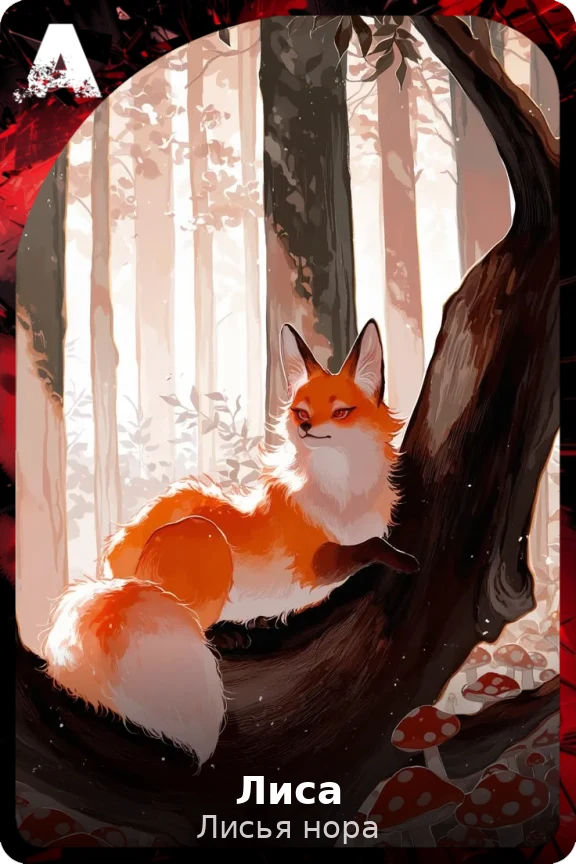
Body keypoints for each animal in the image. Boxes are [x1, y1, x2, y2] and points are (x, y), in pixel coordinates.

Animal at [42, 319, 418, 765]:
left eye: (341, 411)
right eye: (301, 412)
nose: (306, 427)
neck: (342, 492)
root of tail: (112, 574)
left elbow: (366, 543)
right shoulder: (312, 566)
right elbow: (367, 547)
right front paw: (403, 559)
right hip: (205, 539)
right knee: (194, 621)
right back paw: (223, 634)